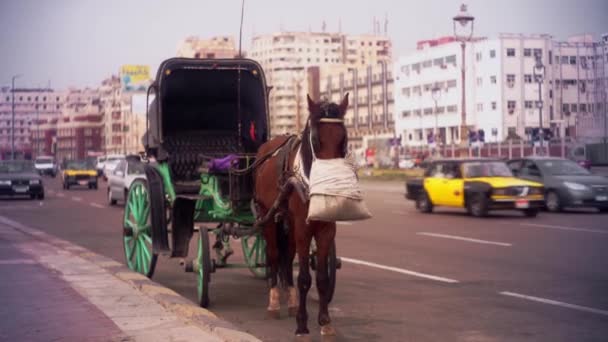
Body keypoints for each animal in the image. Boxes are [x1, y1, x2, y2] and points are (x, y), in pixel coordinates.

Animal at [252, 91, 346, 340]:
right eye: (316, 140)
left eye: (343, 139)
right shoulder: (303, 229)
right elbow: (305, 278)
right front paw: (302, 326)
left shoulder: (326, 228)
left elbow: (322, 278)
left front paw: (325, 322)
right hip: (267, 216)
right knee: (274, 256)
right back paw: (274, 301)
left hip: (287, 222)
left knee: (286, 258)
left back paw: (292, 300)